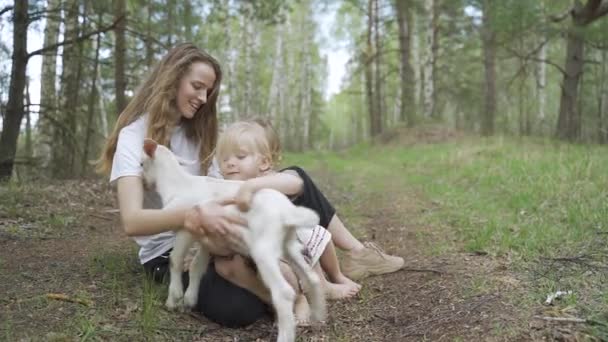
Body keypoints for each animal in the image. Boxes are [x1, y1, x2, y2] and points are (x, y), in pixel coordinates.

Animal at [140, 139, 328, 342]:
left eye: (141, 164)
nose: (144, 184)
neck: (176, 185)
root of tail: (288, 212)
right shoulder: (206, 237)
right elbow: (197, 266)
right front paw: (190, 299)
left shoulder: (186, 229)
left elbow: (175, 260)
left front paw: (173, 299)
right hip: (289, 245)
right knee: (312, 277)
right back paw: (318, 313)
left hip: (264, 249)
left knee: (284, 292)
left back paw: (286, 335)